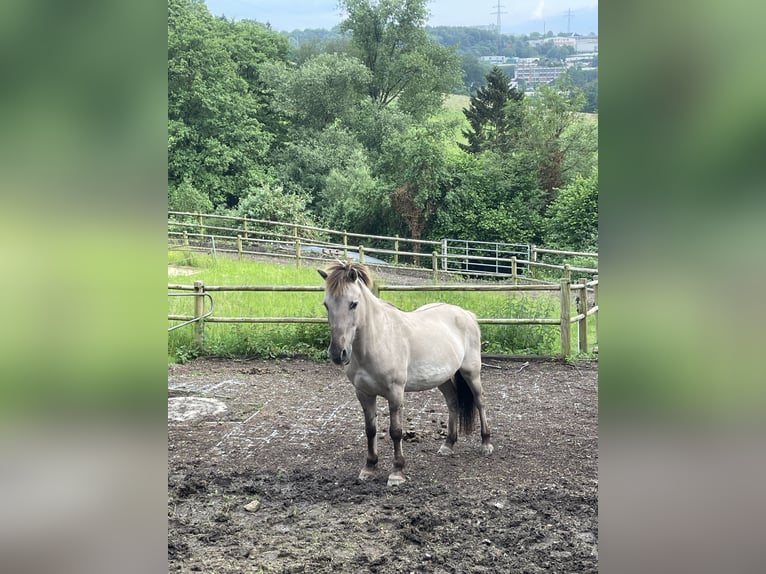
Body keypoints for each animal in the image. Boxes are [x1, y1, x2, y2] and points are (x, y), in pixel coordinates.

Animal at [320, 264, 496, 488]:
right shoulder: (363, 394)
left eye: (353, 304)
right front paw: (369, 467)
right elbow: (370, 430)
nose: (338, 353)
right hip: (443, 379)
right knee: (453, 402)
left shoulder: (395, 393)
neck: (378, 340)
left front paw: (397, 472)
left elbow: (396, 431)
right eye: (326, 304)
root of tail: (466, 314)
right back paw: (448, 445)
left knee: (480, 401)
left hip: (471, 372)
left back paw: (486, 443)